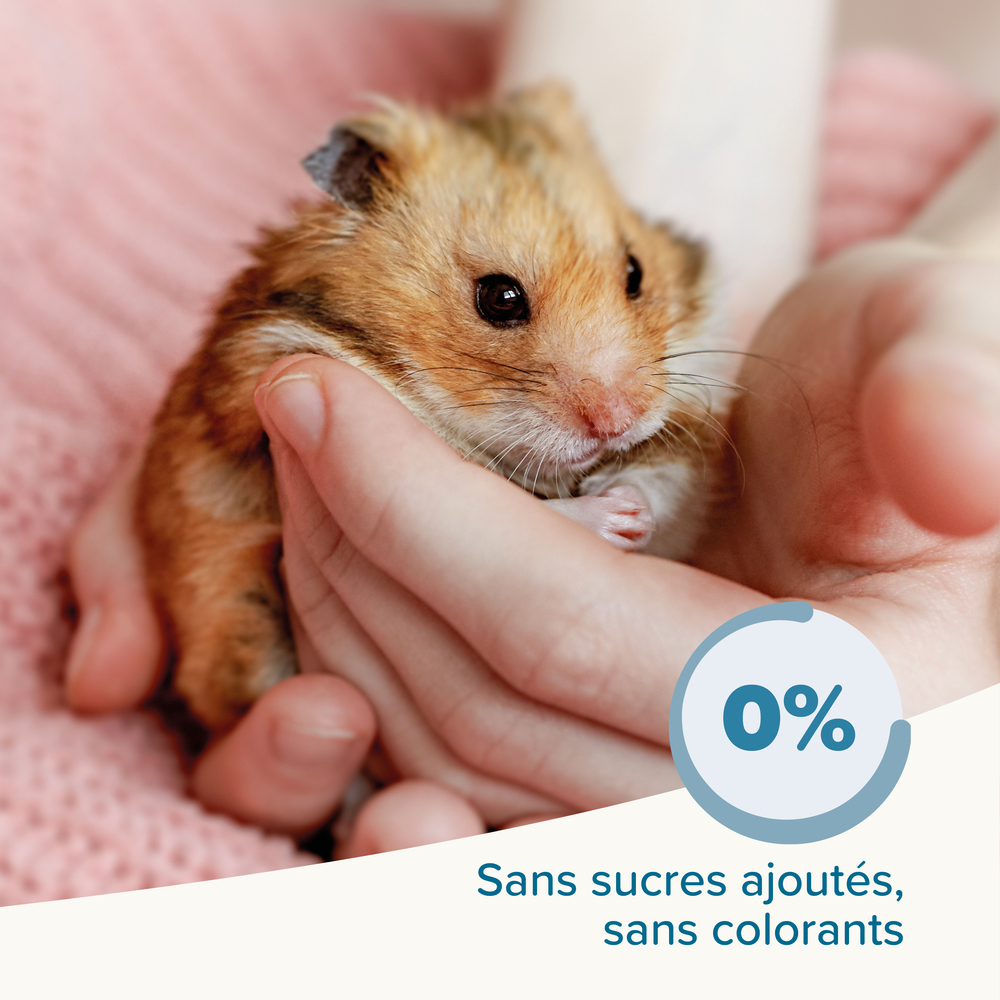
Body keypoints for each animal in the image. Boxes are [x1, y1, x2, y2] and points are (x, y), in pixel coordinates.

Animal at [137, 82, 727, 730]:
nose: (619, 423)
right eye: (500, 297)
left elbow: (666, 478)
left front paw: (630, 506)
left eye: (635, 272)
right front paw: (617, 517)